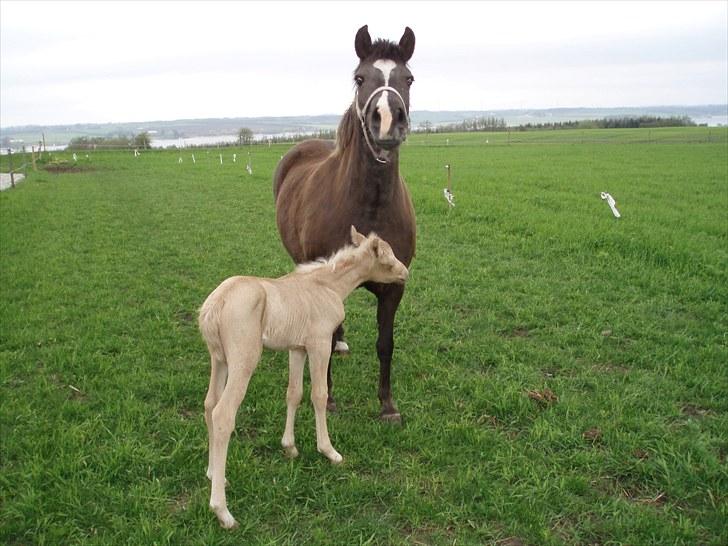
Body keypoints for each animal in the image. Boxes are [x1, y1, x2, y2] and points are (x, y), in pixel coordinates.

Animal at [199, 225, 410, 528]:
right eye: (386, 256)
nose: (405, 272)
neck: (328, 286)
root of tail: (214, 305)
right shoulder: (319, 343)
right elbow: (319, 395)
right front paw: (329, 451)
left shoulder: (296, 348)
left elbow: (294, 393)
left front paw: (290, 448)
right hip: (243, 360)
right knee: (223, 414)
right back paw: (223, 511)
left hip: (218, 359)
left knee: (209, 404)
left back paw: (214, 473)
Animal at [272, 25, 418, 420]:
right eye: (360, 78)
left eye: (409, 79)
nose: (388, 120)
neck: (369, 205)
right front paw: (330, 398)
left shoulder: (395, 287)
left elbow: (386, 343)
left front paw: (387, 405)